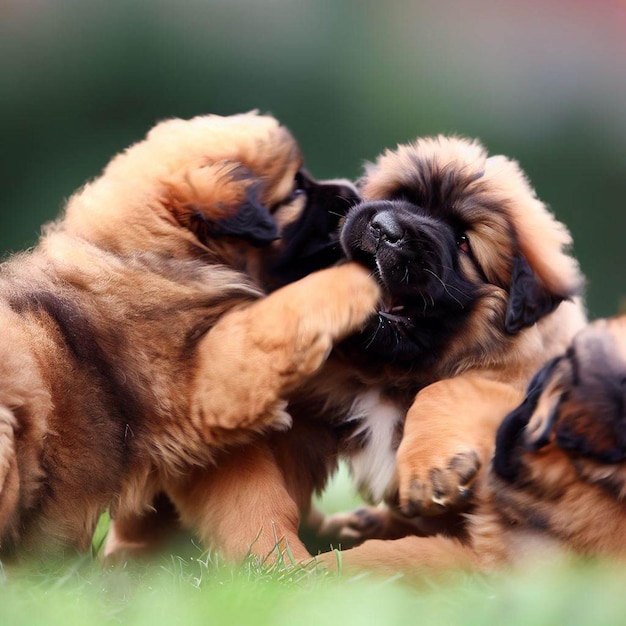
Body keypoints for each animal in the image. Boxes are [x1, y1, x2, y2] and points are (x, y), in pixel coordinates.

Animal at [0, 114, 378, 560]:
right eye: (297, 190)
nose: (354, 189)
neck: (155, 255)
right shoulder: (207, 376)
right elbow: (284, 308)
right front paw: (366, 271)